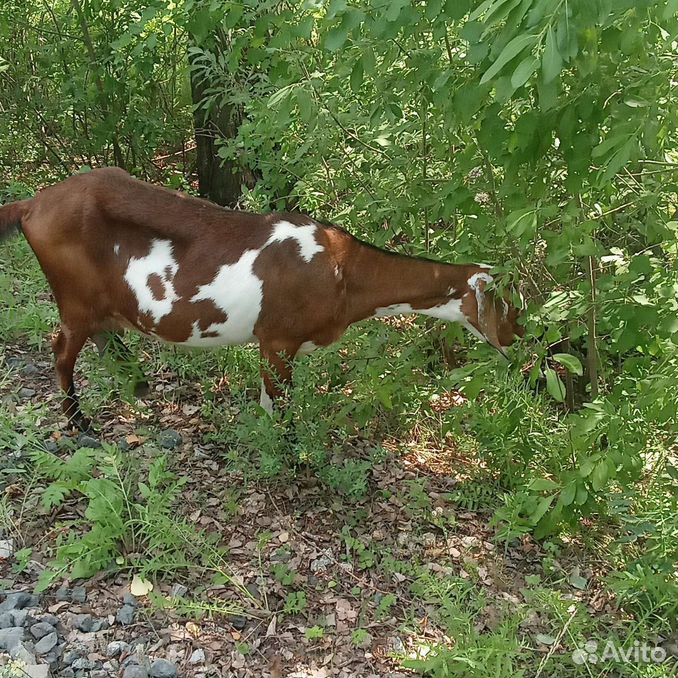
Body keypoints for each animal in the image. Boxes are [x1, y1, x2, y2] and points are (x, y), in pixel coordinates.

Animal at [0, 169, 524, 430]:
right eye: (508, 304)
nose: (521, 341)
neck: (343, 271)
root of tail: (33, 203)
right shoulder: (277, 340)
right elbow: (279, 408)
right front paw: (289, 458)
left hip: (100, 303)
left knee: (106, 339)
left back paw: (140, 390)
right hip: (74, 298)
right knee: (62, 350)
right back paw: (79, 422)